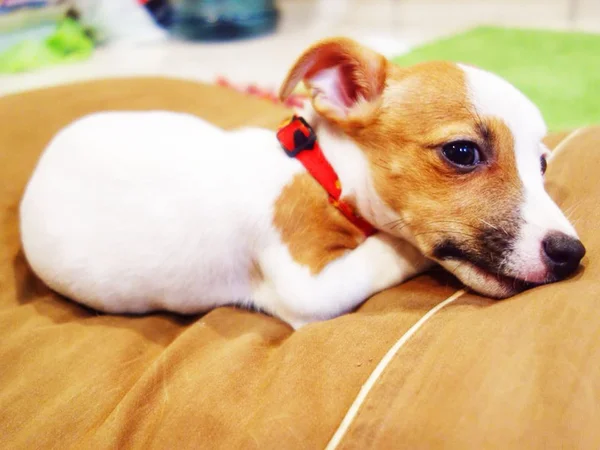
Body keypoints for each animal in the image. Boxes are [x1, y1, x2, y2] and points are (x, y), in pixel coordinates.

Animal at [19, 37, 584, 326]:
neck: (321, 173)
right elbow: (392, 249)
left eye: (542, 164)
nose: (572, 253)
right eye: (462, 152)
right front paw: (405, 247)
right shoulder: (307, 284)